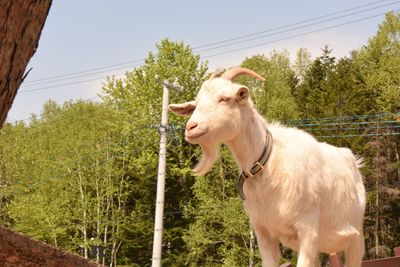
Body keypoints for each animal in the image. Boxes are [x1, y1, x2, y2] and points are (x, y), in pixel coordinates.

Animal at [169, 68, 366, 267]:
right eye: (196, 104)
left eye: (224, 98)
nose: (191, 127)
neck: (268, 162)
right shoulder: (263, 231)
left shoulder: (307, 228)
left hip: (355, 238)